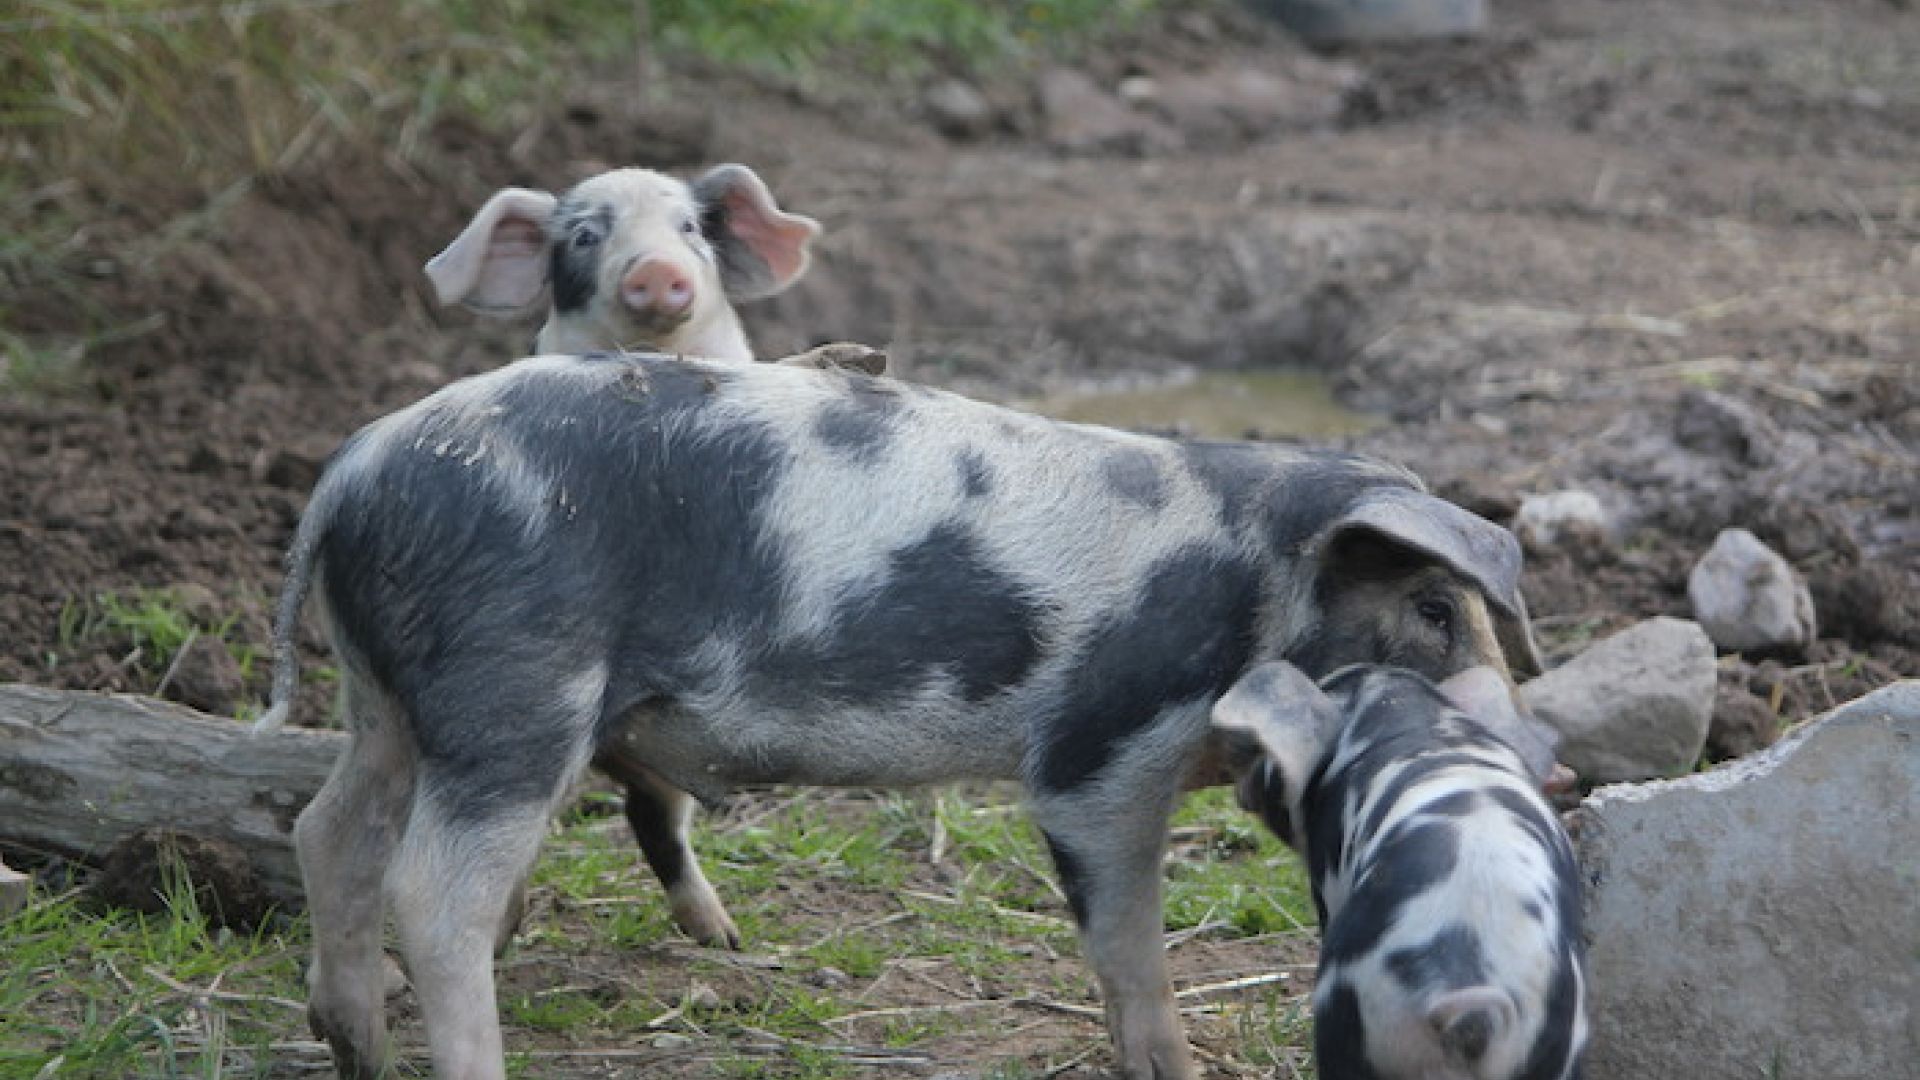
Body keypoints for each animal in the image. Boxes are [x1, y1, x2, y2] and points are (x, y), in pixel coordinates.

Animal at [255, 353, 1543, 1076]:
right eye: (1433, 608)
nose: (1528, 744)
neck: (1248, 579)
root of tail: (351, 473)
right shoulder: (1099, 752)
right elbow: (1131, 949)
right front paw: (1169, 1065)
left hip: (390, 701)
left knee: (328, 830)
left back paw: (353, 1046)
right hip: (515, 696)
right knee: (432, 891)